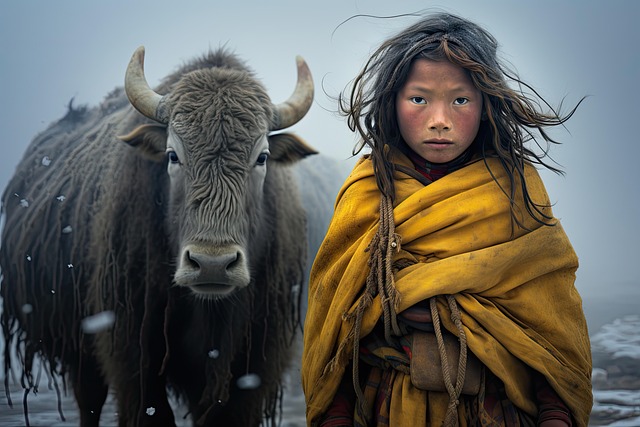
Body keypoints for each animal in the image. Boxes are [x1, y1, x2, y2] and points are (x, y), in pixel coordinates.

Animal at [1, 45, 317, 426]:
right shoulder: (130, 355)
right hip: (78, 348)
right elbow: (150, 411)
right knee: (88, 399)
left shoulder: (255, 364)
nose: (212, 264)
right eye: (172, 155)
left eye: (262, 157)